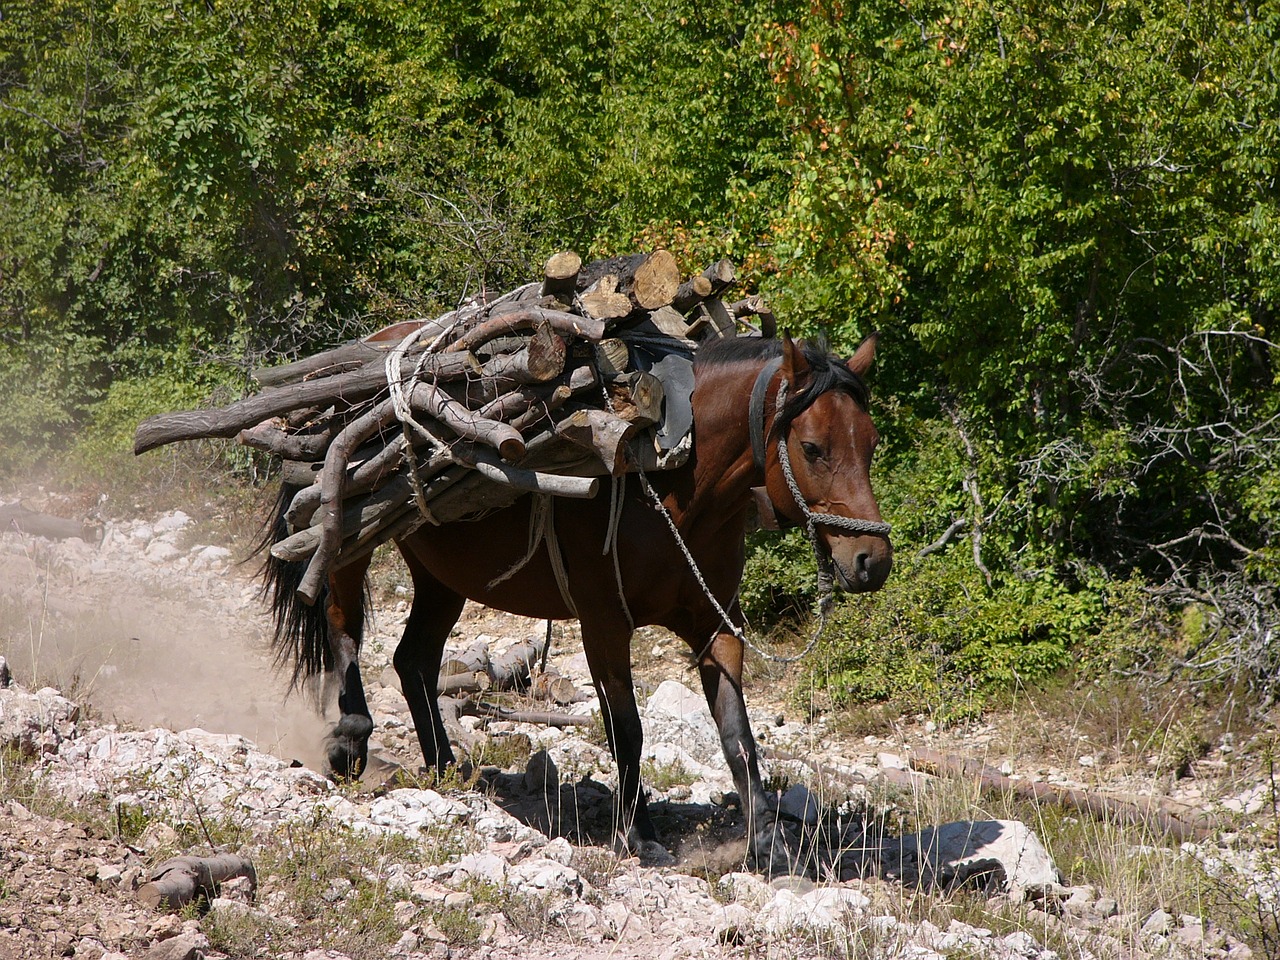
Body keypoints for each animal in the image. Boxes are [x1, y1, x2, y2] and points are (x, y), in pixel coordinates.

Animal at [262, 335, 890, 870]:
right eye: (812, 447)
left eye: (871, 443)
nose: (872, 561)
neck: (668, 480)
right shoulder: (604, 624)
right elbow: (627, 729)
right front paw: (637, 833)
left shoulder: (716, 624)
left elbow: (738, 735)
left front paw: (768, 843)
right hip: (348, 546)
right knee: (344, 630)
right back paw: (350, 742)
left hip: (443, 578)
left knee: (412, 659)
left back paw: (442, 766)